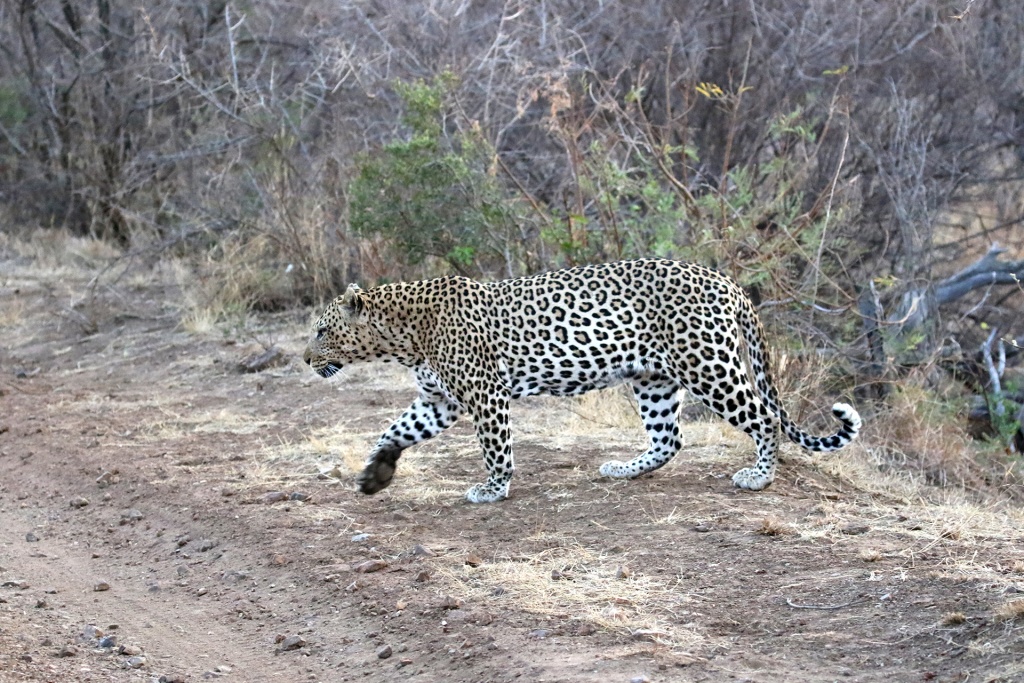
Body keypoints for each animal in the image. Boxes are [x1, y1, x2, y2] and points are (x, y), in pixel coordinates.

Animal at [299, 255, 860, 501]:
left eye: (322, 331)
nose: (304, 359)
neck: (402, 335)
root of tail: (725, 279)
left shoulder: (484, 394)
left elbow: (496, 448)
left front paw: (494, 489)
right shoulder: (440, 401)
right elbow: (394, 431)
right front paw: (376, 474)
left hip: (707, 366)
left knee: (765, 417)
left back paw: (759, 476)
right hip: (653, 378)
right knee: (669, 439)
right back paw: (624, 470)